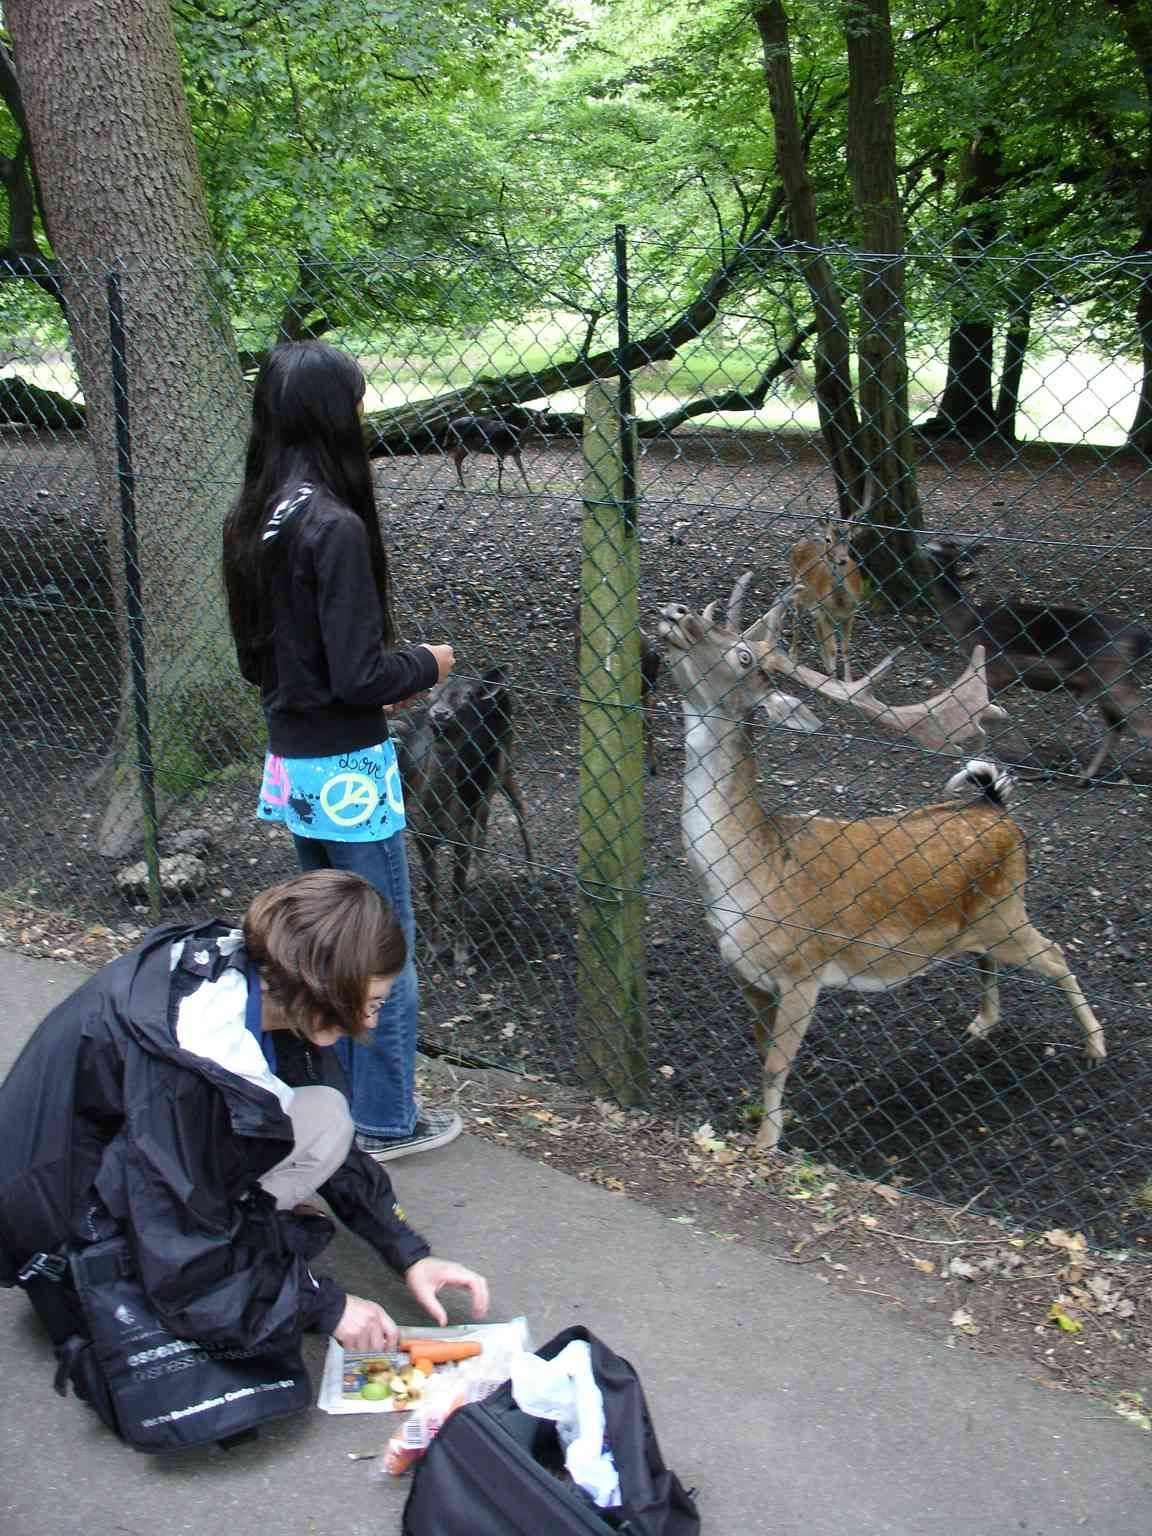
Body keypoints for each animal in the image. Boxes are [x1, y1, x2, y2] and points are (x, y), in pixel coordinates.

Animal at [658, 573, 1105, 1153]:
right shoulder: (746, 974)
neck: (749, 874)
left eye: (742, 655)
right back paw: (982, 1024)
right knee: (988, 959)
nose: (674, 611)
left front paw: (765, 1145)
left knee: (1055, 952)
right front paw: (758, 1124)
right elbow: (761, 1055)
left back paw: (1096, 1046)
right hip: (986, 920)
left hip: (1009, 911)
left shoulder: (803, 969)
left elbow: (778, 1064)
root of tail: (997, 810)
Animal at [922, 536, 1152, 784]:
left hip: (1111, 679)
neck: (967, 623)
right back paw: (1084, 777)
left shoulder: (995, 668)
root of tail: (1143, 640)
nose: (923, 546)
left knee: (1138, 724)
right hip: (1107, 684)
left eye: (944, 547)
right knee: (1117, 725)